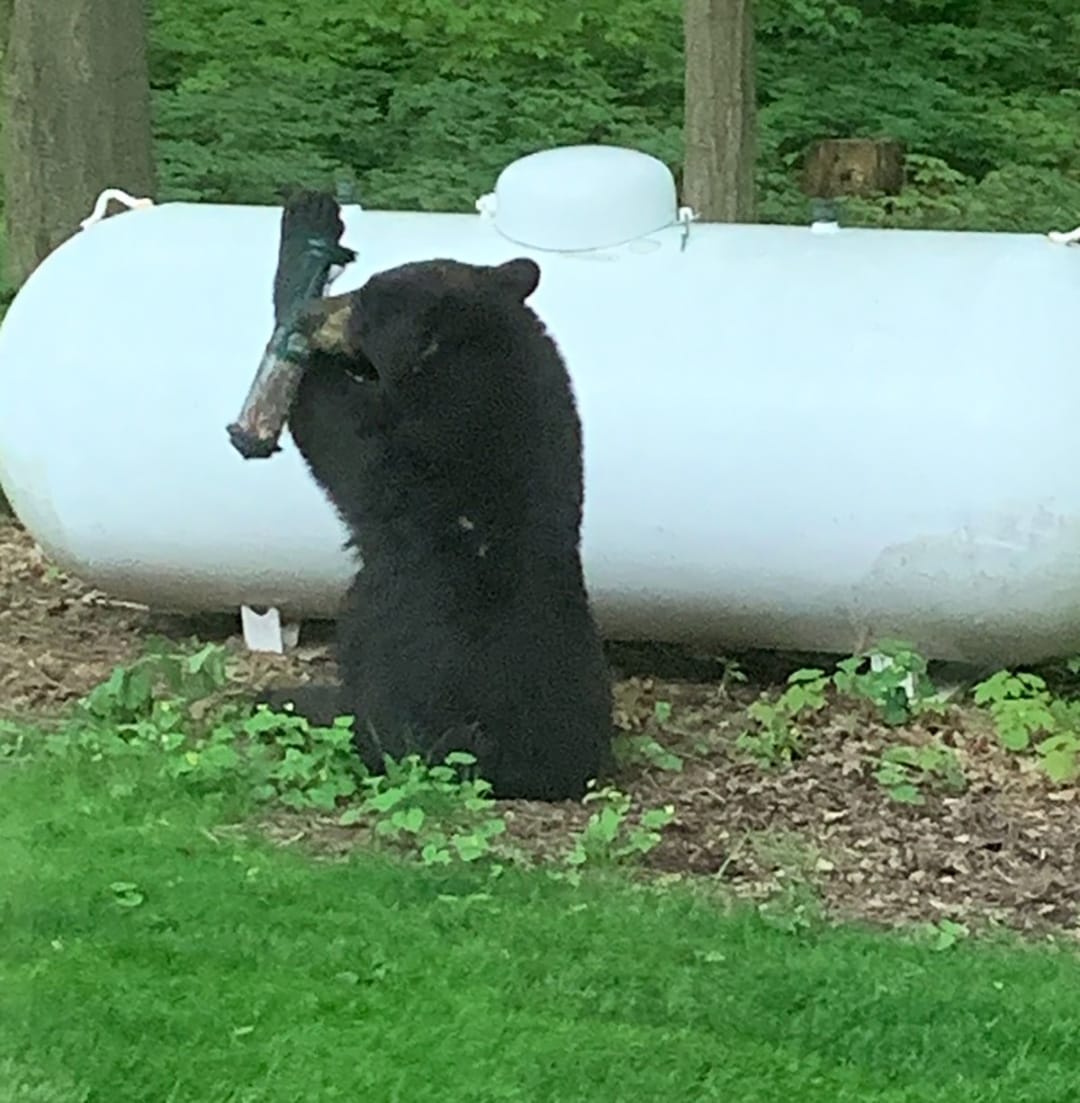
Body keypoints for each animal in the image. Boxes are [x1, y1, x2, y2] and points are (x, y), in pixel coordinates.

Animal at [260, 234, 614, 801]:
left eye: (363, 303)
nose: (312, 314)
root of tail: (524, 770)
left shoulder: (424, 436)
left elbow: (341, 433)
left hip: (390, 649)